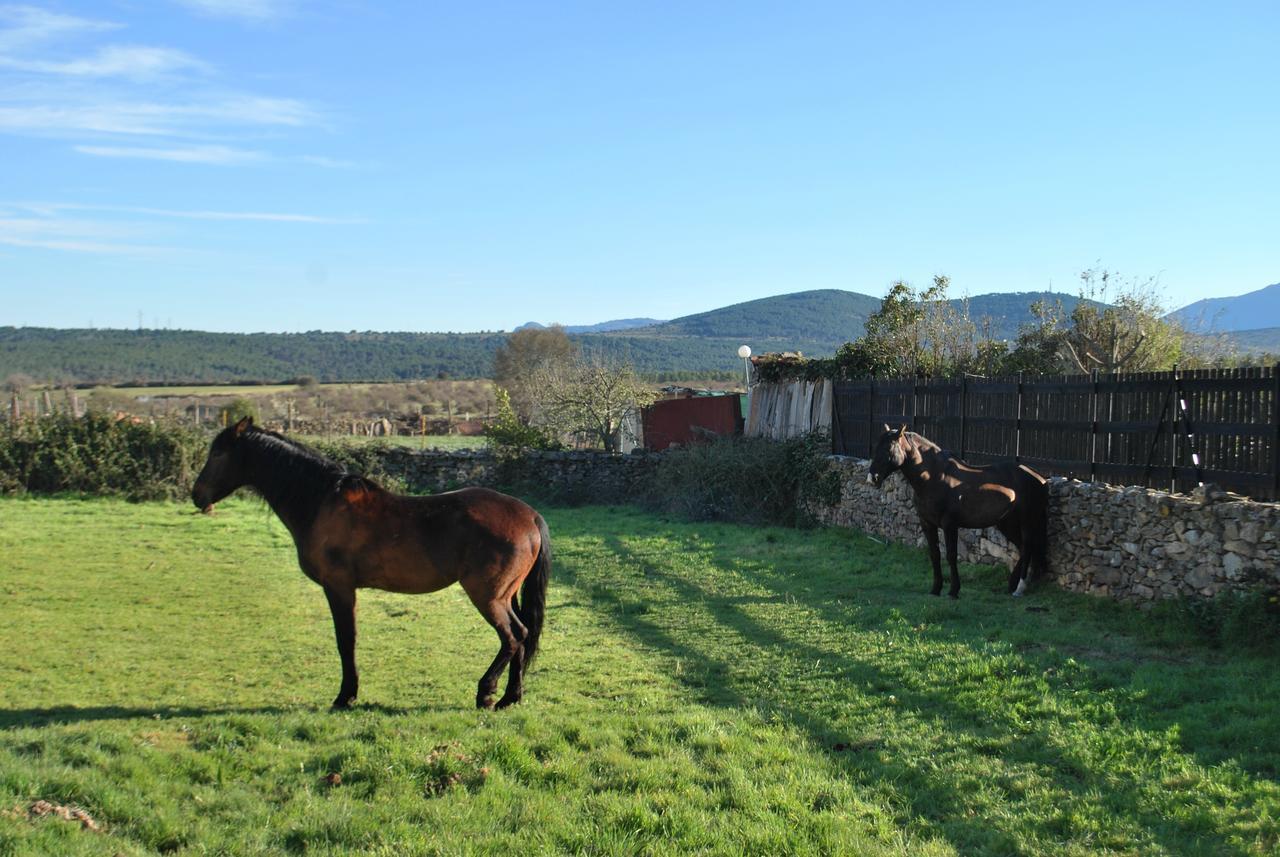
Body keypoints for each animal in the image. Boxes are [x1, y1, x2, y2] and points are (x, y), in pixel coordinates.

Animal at [190, 422, 550, 711]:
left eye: (219, 453)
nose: (197, 495)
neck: (320, 502)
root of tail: (530, 515)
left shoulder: (338, 587)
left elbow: (345, 639)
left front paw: (346, 695)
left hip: (488, 596)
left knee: (513, 636)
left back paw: (486, 691)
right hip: (505, 595)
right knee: (522, 636)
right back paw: (510, 697)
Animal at [870, 427, 1049, 601]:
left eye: (889, 448)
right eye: (876, 446)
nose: (872, 477)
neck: (934, 477)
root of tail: (1040, 477)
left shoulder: (949, 525)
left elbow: (951, 555)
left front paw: (953, 591)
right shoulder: (927, 523)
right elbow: (934, 554)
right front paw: (935, 589)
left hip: (1027, 520)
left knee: (1028, 547)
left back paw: (1020, 587)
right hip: (1006, 523)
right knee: (1023, 547)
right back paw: (1013, 584)